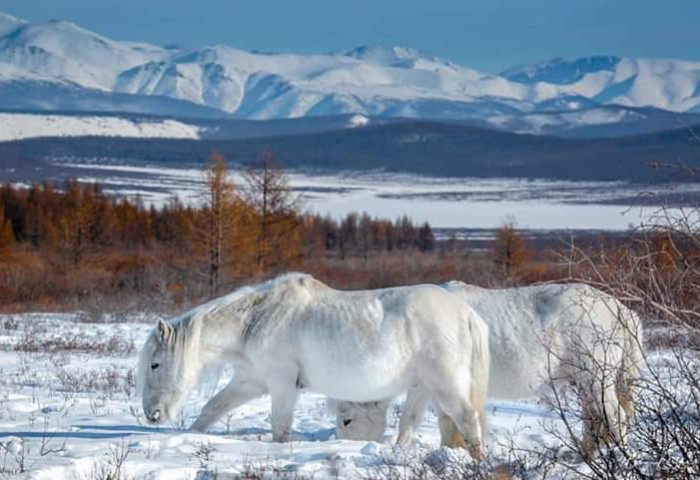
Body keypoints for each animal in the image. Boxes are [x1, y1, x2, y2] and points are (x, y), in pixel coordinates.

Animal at [137, 274, 490, 458]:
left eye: (155, 364)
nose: (151, 414)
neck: (255, 320)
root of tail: (467, 314)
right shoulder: (251, 381)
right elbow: (211, 409)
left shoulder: (282, 382)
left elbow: (280, 429)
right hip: (422, 386)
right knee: (415, 428)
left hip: (444, 383)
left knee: (467, 420)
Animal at [336, 282, 644, 454]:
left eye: (346, 420)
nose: (342, 444)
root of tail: (621, 310)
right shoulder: (427, 382)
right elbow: (423, 420)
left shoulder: (434, 380)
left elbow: (425, 418)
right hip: (581, 379)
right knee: (594, 418)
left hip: (595, 374)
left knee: (615, 415)